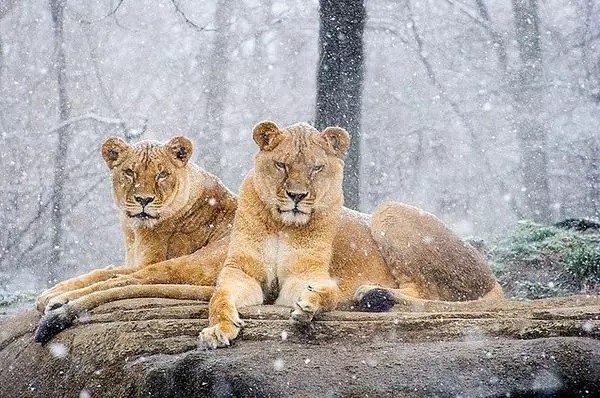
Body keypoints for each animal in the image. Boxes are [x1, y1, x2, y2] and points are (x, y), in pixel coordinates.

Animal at [34, 135, 237, 344]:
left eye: (162, 174)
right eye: (129, 172)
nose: (144, 200)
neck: (133, 229)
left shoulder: (152, 261)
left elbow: (107, 274)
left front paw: (53, 295)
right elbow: (99, 272)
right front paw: (53, 290)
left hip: (192, 261)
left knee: (127, 282)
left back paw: (60, 301)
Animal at [198, 120, 502, 348]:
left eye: (316, 168)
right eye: (281, 165)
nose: (297, 196)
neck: (283, 225)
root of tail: (491, 276)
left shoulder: (304, 275)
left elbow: (321, 293)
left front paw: (310, 304)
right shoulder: (241, 272)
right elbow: (219, 298)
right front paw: (218, 329)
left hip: (388, 210)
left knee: (430, 292)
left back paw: (371, 294)